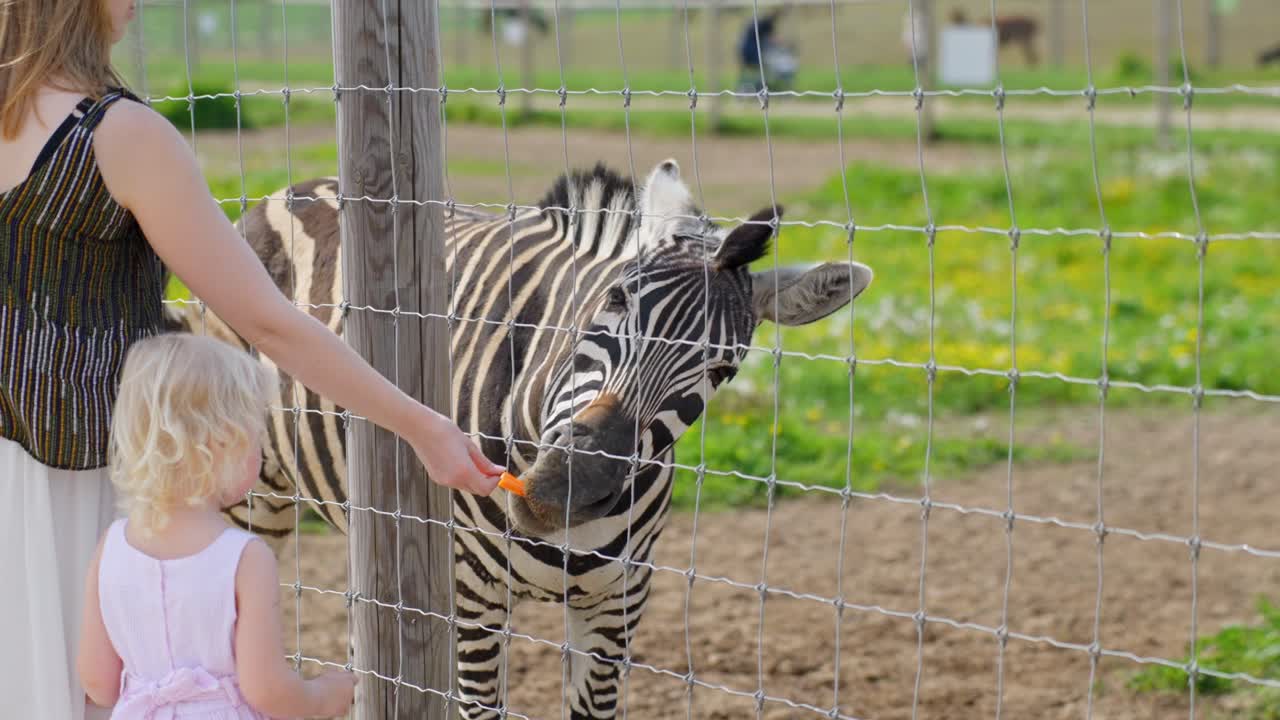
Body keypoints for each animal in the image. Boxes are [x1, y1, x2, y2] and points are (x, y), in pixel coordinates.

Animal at [168, 159, 873, 718]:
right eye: (614, 301)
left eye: (722, 368)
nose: (567, 488)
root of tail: (302, 185)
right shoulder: (472, 598)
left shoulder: (618, 605)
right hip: (255, 495)